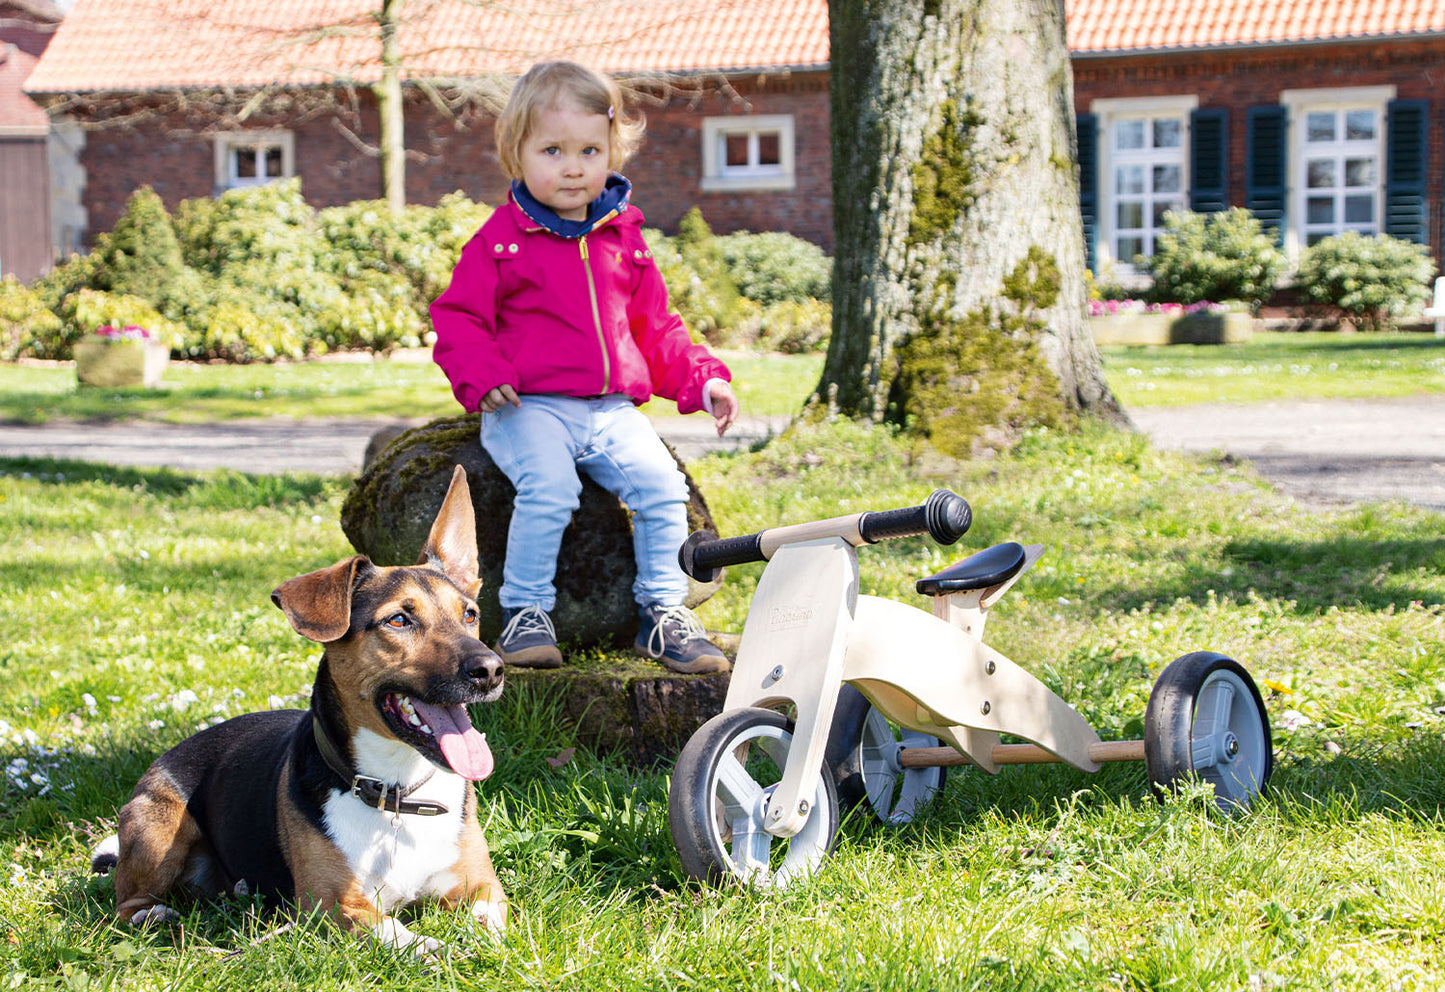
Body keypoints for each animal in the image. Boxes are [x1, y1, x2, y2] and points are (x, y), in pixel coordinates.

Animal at [88, 470, 508, 958]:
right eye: (399, 620)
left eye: (470, 615)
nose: (490, 669)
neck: (397, 794)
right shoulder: (333, 906)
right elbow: (404, 937)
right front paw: (441, 950)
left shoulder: (482, 886)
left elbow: (491, 922)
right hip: (158, 828)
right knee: (124, 906)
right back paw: (154, 914)